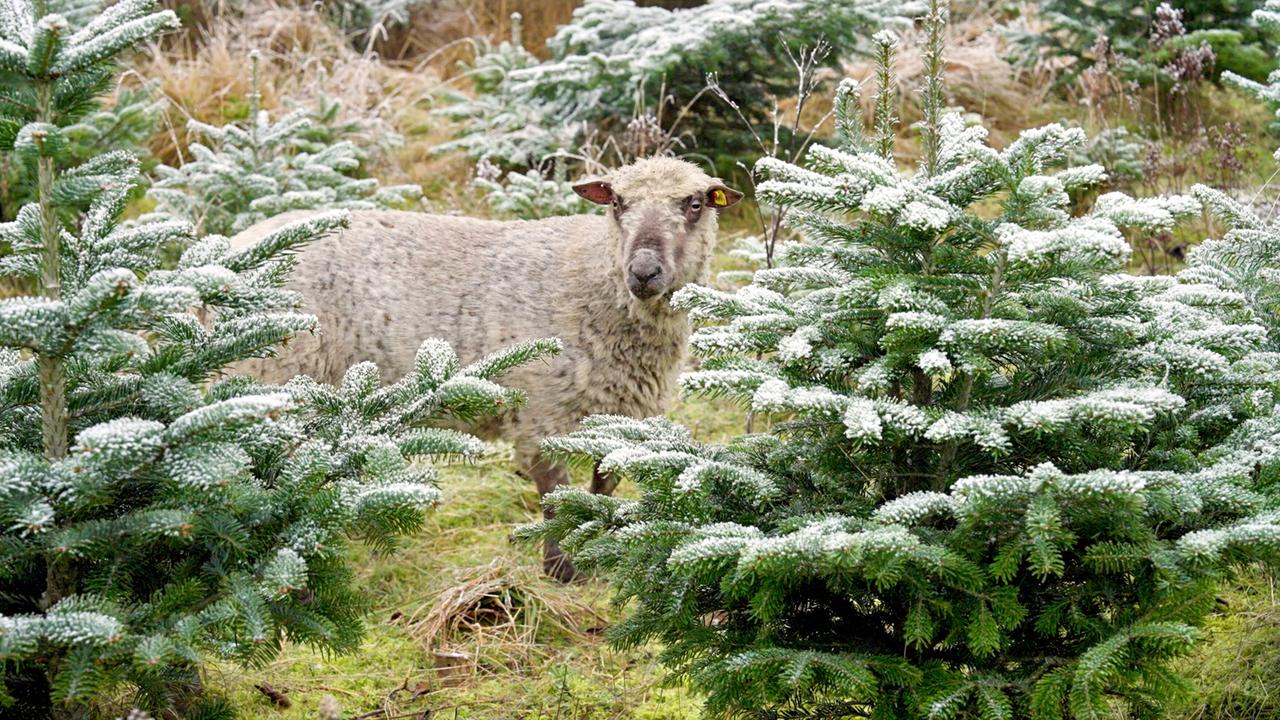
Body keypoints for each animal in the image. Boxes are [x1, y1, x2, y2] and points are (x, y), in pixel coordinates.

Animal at [231, 157, 742, 581]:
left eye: (695, 204)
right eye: (617, 202)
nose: (643, 272)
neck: (593, 277)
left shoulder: (621, 412)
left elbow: (602, 485)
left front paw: (597, 549)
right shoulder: (543, 411)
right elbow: (555, 494)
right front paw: (562, 570)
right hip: (274, 376)